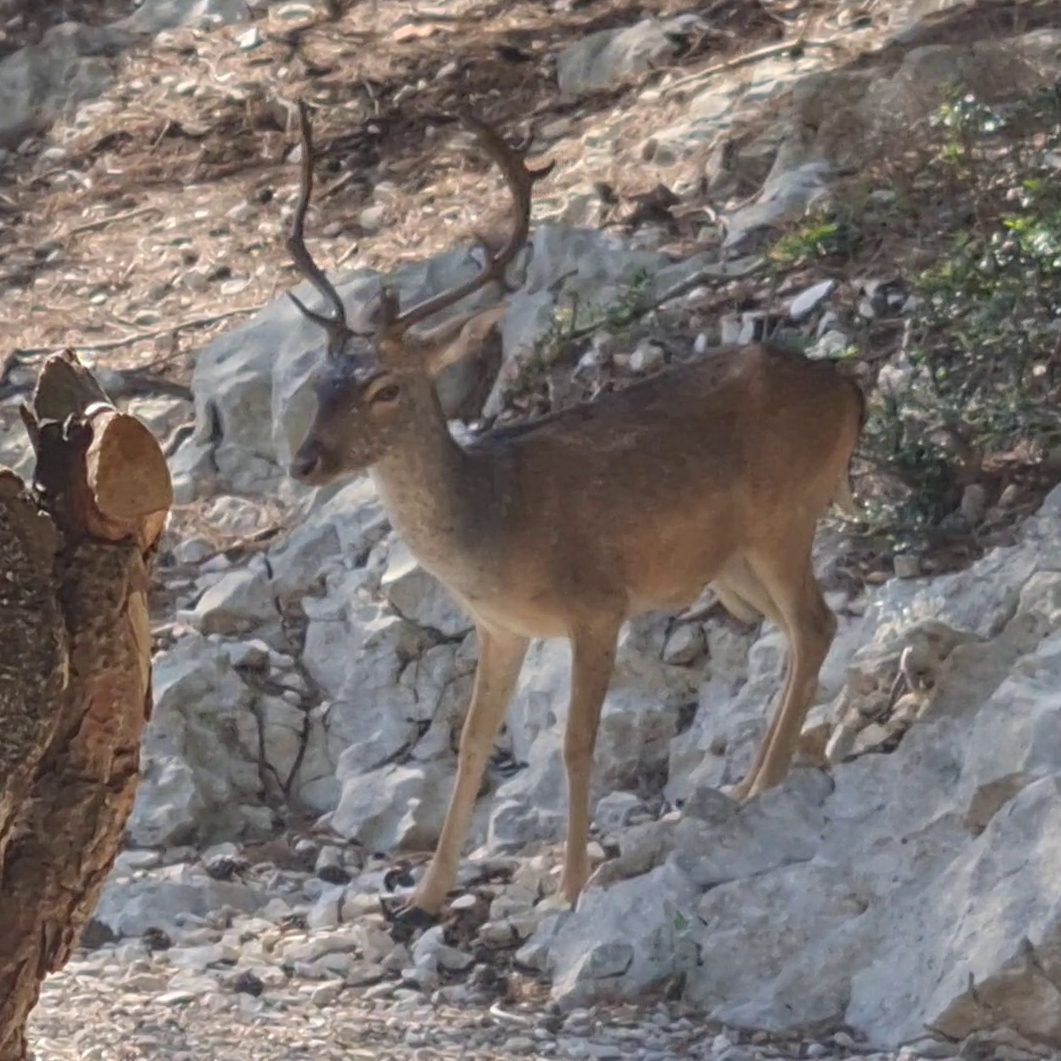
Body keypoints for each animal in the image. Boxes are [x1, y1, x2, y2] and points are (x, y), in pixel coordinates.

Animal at [281, 101, 866, 922]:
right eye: (318, 380)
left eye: (385, 388)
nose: (305, 462)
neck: (493, 527)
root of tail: (849, 390)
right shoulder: (499, 628)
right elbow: (470, 743)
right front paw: (425, 895)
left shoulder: (598, 604)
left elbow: (576, 743)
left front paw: (568, 889)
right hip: (740, 563)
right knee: (793, 636)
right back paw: (748, 782)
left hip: (783, 516)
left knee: (815, 624)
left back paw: (763, 785)